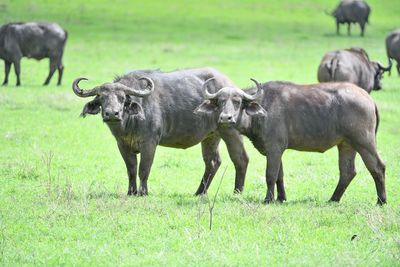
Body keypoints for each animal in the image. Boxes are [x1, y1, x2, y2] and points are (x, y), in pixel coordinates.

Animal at [71, 67, 247, 197]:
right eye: (102, 98)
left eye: (122, 98)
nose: (112, 114)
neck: (130, 124)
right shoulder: (122, 145)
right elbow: (131, 169)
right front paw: (131, 192)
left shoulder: (149, 143)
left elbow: (144, 169)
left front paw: (143, 193)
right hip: (211, 136)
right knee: (213, 162)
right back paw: (199, 193)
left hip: (230, 131)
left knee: (240, 159)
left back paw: (237, 192)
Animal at [195, 79, 386, 205]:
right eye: (220, 102)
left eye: (237, 101)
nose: (225, 118)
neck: (264, 108)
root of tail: (367, 98)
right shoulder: (276, 151)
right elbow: (280, 176)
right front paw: (281, 198)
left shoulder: (274, 148)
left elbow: (270, 175)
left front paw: (268, 199)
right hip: (346, 144)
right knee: (348, 172)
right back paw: (333, 199)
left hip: (364, 142)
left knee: (377, 167)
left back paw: (381, 200)